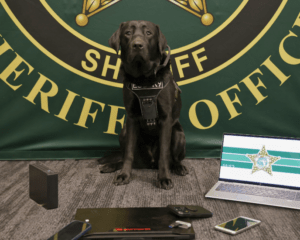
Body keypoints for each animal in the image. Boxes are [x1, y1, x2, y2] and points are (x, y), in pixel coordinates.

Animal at [99, 20, 189, 189]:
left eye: (148, 33)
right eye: (128, 33)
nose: (137, 45)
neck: (144, 79)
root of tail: (150, 163)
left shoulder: (166, 119)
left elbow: (164, 154)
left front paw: (164, 178)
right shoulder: (131, 118)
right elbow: (128, 153)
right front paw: (124, 175)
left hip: (178, 135)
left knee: (173, 159)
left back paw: (179, 167)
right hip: (124, 132)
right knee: (127, 157)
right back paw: (110, 166)